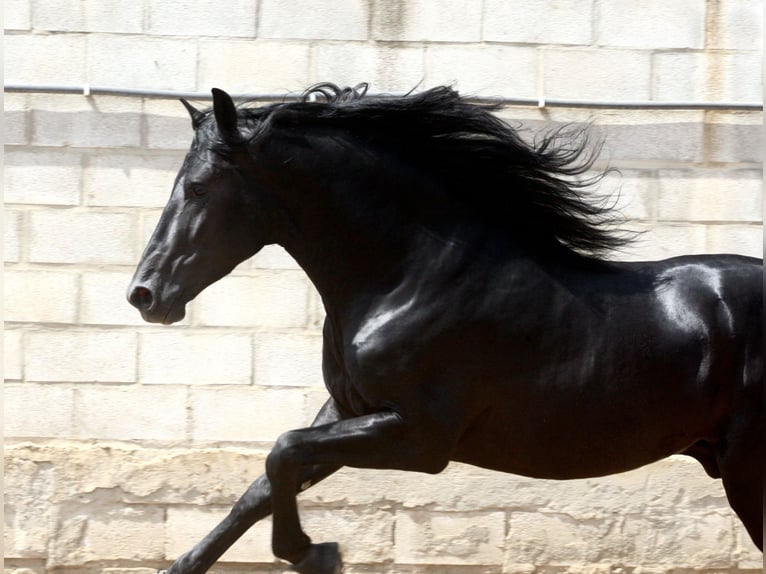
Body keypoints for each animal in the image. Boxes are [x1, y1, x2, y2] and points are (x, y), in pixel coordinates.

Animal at [129, 83, 764, 572]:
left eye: (198, 188)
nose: (144, 294)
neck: (411, 277)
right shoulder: (353, 413)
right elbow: (263, 484)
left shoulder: (420, 437)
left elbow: (283, 452)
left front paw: (315, 553)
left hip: (748, 472)